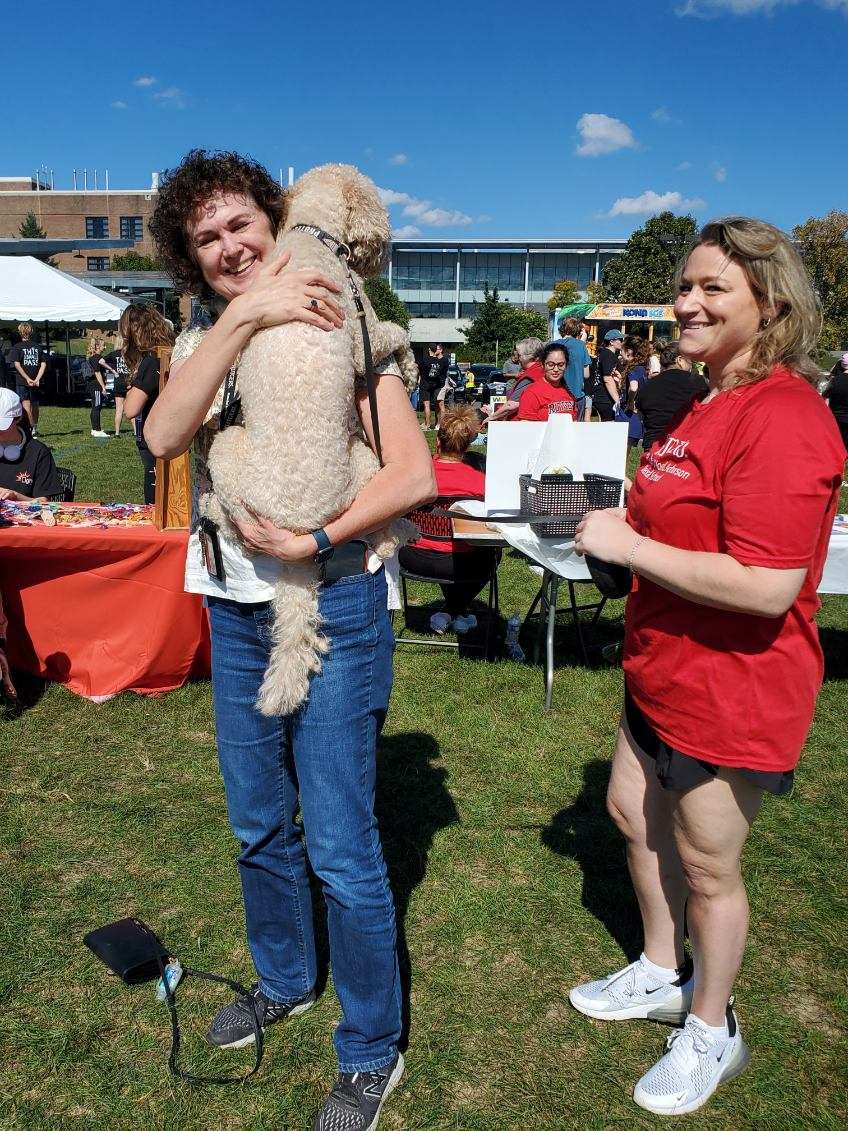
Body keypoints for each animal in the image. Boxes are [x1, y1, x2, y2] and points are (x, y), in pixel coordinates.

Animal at [203, 164, 418, 716]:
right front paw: (409, 367)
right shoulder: (361, 332)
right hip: (356, 460)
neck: (309, 236)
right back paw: (398, 533)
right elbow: (396, 333)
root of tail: (296, 535)